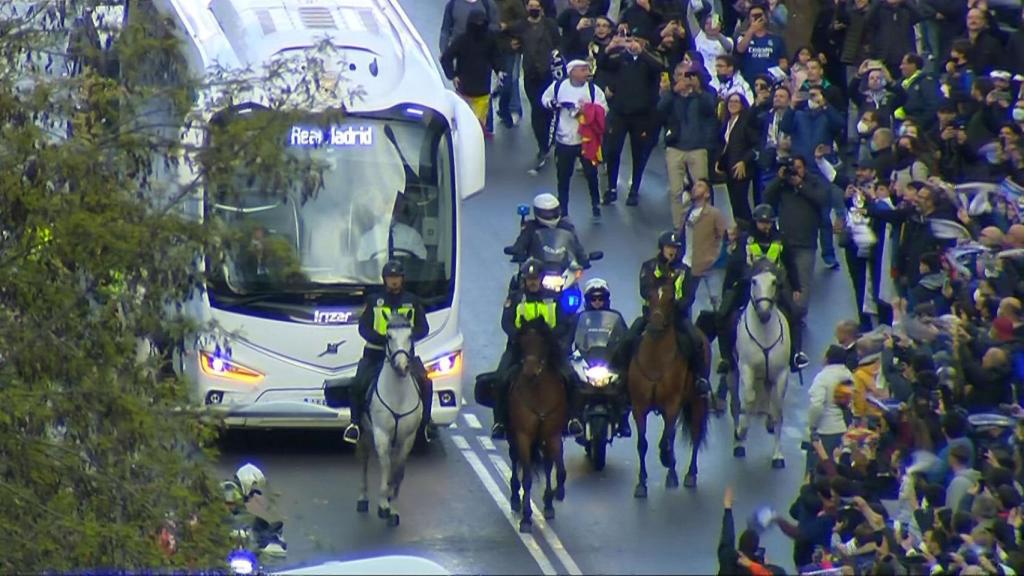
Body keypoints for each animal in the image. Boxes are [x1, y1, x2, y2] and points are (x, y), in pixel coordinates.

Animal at [354, 313, 421, 524]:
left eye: (410, 335)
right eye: (388, 336)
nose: (401, 367)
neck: (397, 395)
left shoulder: (408, 438)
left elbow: (398, 471)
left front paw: (393, 506)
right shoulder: (381, 434)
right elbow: (385, 465)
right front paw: (383, 503)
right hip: (364, 434)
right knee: (364, 461)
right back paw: (363, 498)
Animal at [509, 315, 573, 532]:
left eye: (543, 342)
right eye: (522, 343)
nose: (529, 370)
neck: (539, 393)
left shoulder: (552, 435)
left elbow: (559, 471)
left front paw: (553, 497)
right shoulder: (523, 436)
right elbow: (527, 478)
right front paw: (527, 518)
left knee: (547, 465)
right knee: (515, 461)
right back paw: (514, 499)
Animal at [626, 270, 708, 496]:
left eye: (672, 298)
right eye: (650, 295)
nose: (654, 323)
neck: (656, 359)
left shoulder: (672, 405)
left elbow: (667, 440)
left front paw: (669, 469)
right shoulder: (639, 407)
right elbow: (642, 444)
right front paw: (641, 483)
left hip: (697, 401)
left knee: (695, 434)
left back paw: (689, 474)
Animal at [729, 264, 790, 467]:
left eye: (774, 282)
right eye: (753, 281)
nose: (764, 314)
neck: (764, 333)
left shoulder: (781, 374)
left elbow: (777, 409)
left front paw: (778, 455)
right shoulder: (746, 368)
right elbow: (747, 399)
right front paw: (741, 433)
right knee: (737, 402)